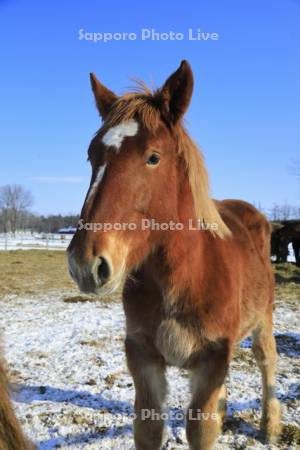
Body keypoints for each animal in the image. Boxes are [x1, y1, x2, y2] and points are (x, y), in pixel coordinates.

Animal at [68, 60, 282, 450]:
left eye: (153, 157)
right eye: (92, 155)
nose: (86, 264)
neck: (184, 276)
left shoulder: (212, 358)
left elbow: (200, 430)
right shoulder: (142, 355)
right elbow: (149, 428)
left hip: (263, 319)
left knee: (266, 361)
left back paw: (270, 426)